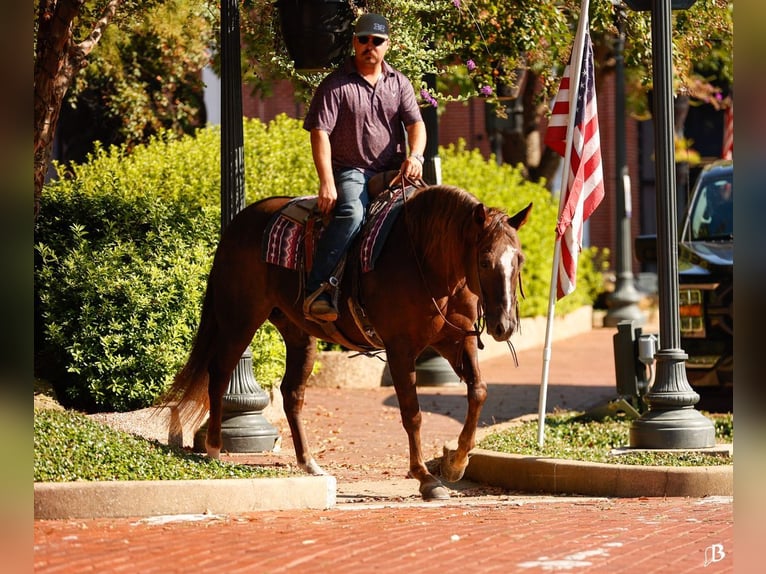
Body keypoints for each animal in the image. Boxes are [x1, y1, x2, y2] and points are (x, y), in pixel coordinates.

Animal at [165, 182, 532, 500]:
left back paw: (309, 463)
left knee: (291, 393)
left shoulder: (456, 341)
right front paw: (425, 477)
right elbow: (412, 413)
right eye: (484, 260)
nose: (504, 325)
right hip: (239, 318)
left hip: (298, 333)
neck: (429, 263)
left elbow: (478, 391)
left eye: (519, 260)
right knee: (220, 373)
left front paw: (456, 463)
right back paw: (214, 448)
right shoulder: (401, 349)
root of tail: (239, 221)